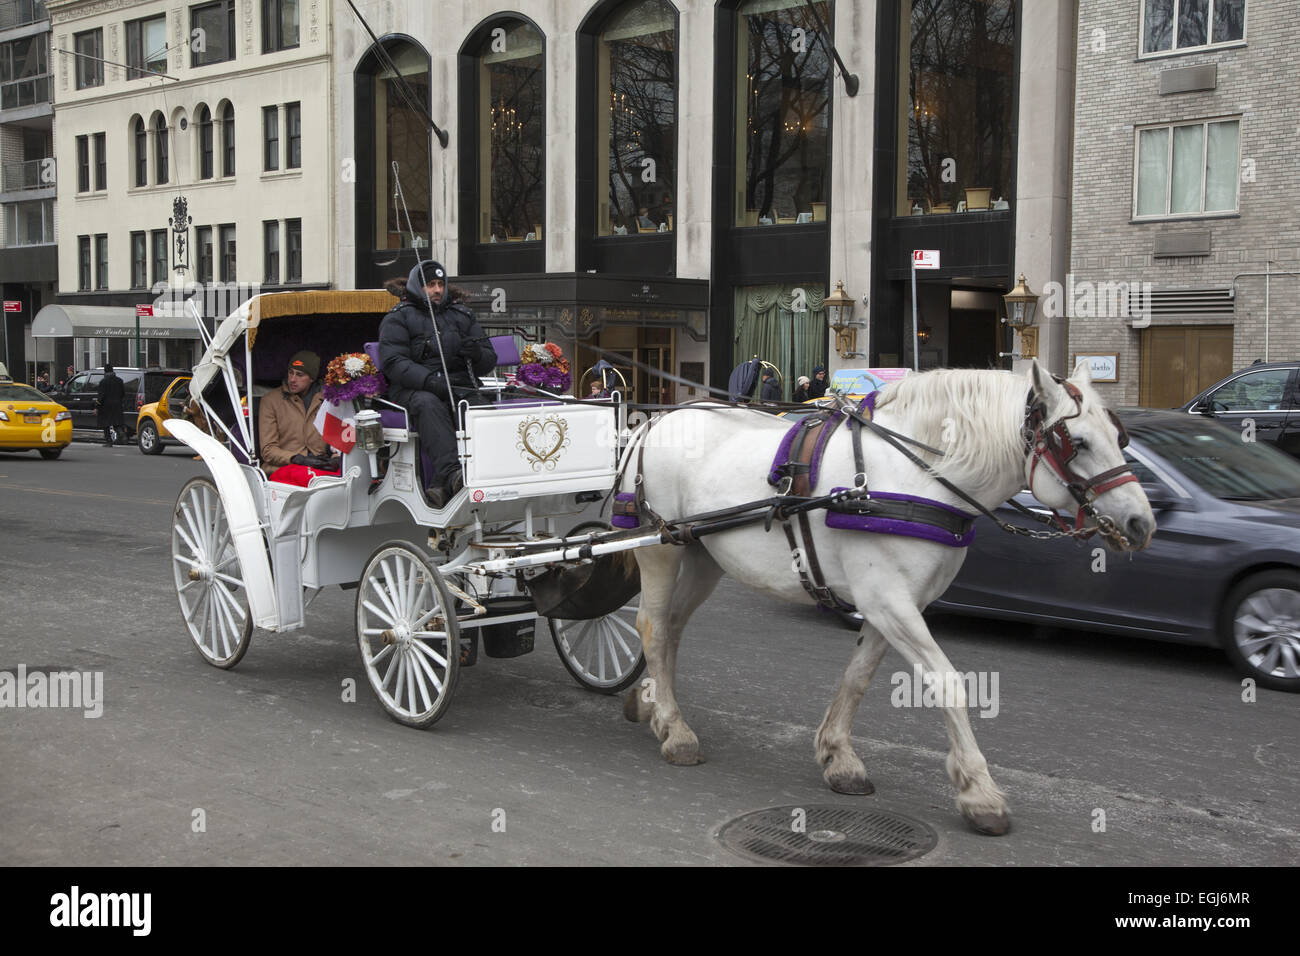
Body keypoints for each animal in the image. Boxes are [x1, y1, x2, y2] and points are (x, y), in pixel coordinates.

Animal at [624, 361, 1154, 837]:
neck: (914, 478)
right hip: (661, 549)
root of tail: (656, 420)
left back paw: (650, 702)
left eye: (1120, 437)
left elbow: (858, 677)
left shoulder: (895, 604)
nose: (1141, 524)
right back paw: (675, 730)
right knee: (652, 627)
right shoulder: (889, 602)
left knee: (671, 626)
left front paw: (839, 757)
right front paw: (979, 792)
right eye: (1078, 443)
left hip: (703, 556)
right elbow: (949, 685)